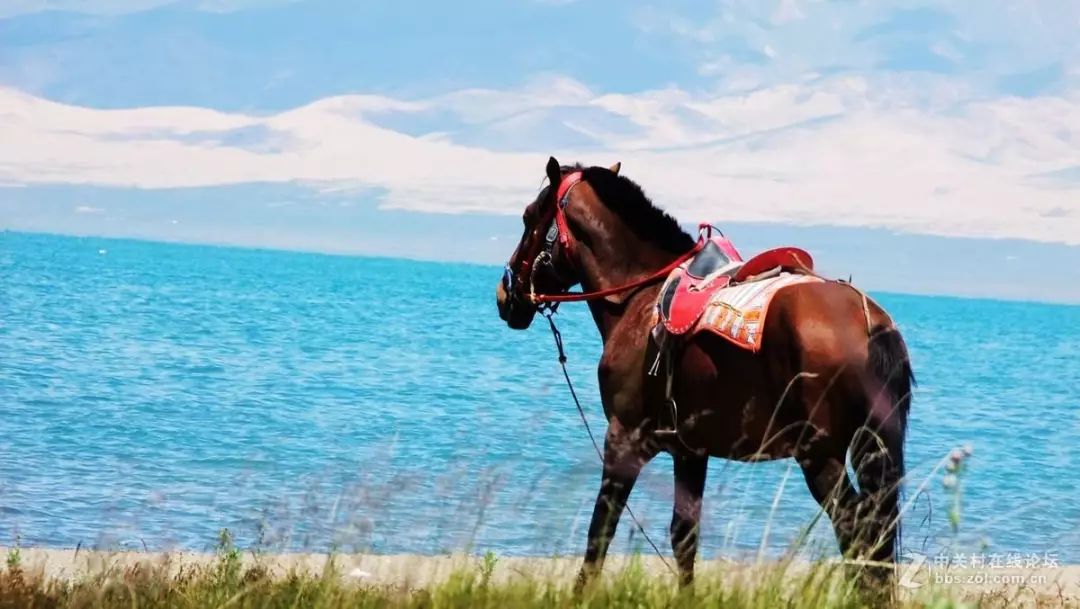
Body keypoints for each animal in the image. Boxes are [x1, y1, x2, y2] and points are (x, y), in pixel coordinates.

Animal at [494, 155, 911, 591]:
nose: (506, 294)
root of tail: (869, 320)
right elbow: (684, 535)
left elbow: (600, 532)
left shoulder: (622, 439)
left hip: (820, 455)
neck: (639, 299)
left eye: (528, 217)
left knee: (856, 532)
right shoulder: (690, 450)